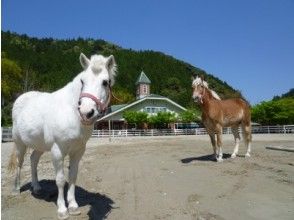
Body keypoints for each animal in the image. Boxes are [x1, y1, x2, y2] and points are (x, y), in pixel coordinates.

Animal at [8, 52, 116, 219]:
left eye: (105, 82)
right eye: (82, 81)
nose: (86, 112)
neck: (71, 112)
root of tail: (20, 99)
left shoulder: (78, 151)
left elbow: (72, 176)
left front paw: (73, 206)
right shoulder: (57, 150)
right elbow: (60, 180)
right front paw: (62, 210)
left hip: (40, 145)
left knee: (33, 160)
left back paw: (37, 187)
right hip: (20, 143)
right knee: (20, 163)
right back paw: (16, 189)